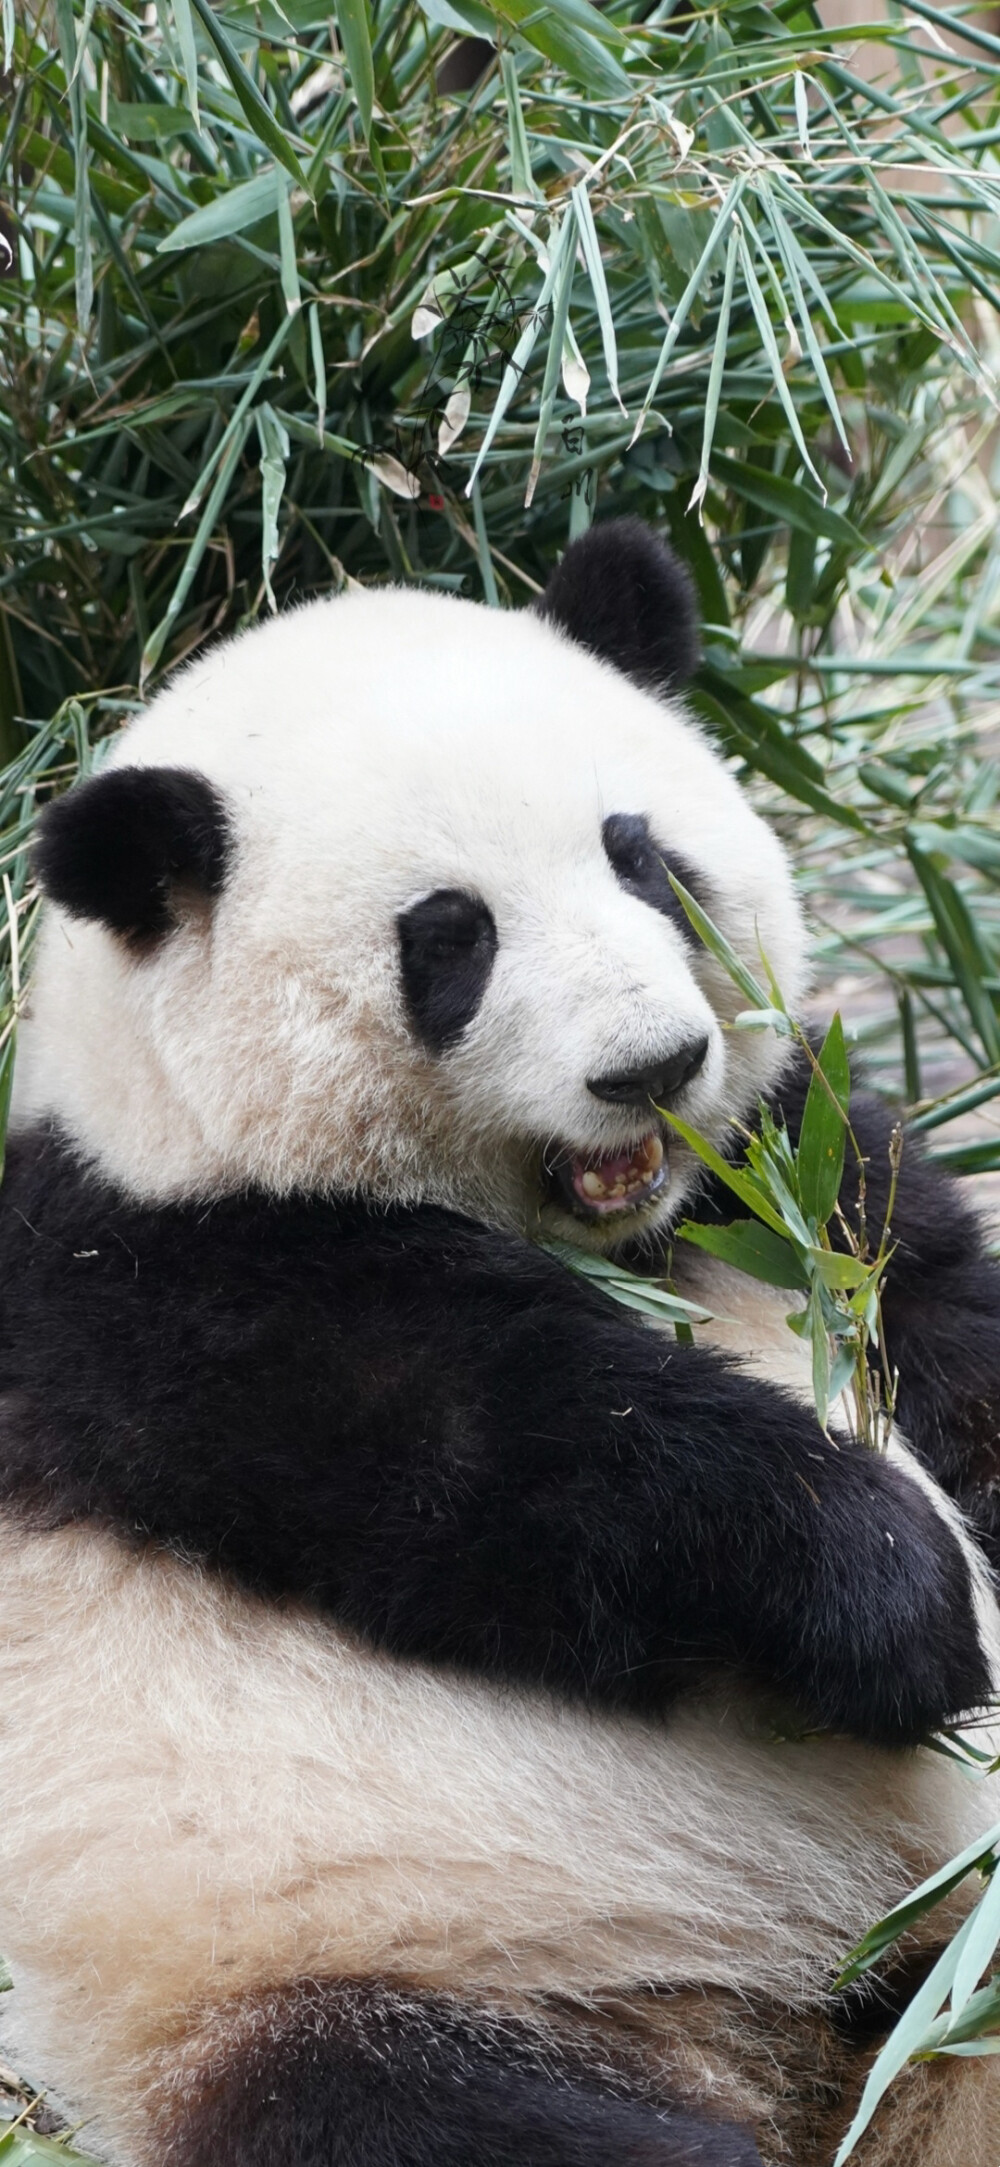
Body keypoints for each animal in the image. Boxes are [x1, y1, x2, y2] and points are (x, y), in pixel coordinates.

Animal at [0, 524, 993, 2167]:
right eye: (449, 937)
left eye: (640, 855)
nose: (652, 1064)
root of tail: (790, 2051)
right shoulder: (150, 1285)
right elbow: (518, 1458)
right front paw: (902, 1605)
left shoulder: (786, 1164)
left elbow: (938, 1306)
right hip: (329, 1963)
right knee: (434, 2113)